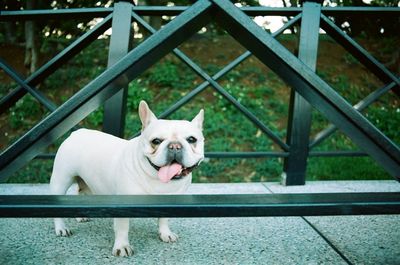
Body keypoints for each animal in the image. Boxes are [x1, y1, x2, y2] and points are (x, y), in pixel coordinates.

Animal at [50, 100, 205, 255]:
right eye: (156, 141)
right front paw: (122, 246)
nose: (175, 146)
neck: (157, 180)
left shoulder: (170, 202)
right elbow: (122, 227)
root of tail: (76, 133)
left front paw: (165, 233)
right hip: (61, 179)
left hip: (87, 182)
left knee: (80, 193)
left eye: (192, 139)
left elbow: (164, 219)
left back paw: (80, 216)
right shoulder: (123, 205)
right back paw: (61, 228)